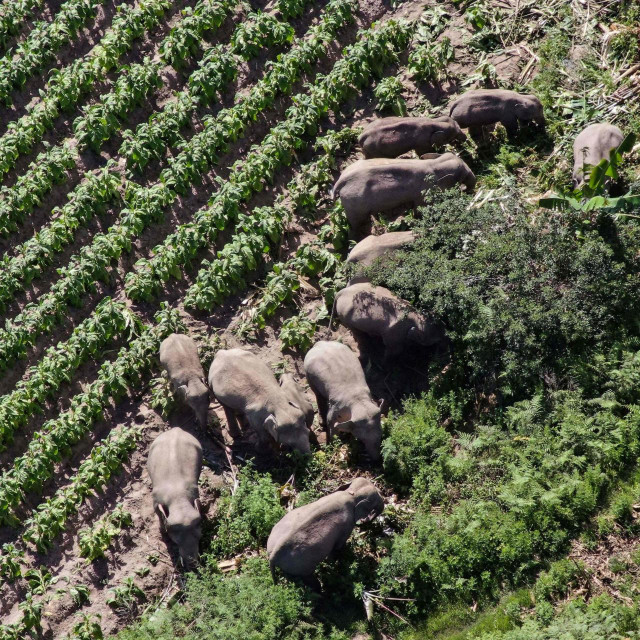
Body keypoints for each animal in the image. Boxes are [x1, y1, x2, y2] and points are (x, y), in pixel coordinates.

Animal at [148, 428, 202, 568]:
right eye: (176, 541)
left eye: (199, 535)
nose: (192, 563)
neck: (178, 498)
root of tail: (176, 429)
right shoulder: (156, 498)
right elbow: (158, 512)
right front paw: (163, 532)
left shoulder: (194, 491)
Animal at [336, 154, 476, 238]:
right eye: (461, 174)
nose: (468, 191)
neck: (434, 163)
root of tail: (340, 181)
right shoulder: (424, 191)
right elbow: (420, 209)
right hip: (354, 204)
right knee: (355, 224)